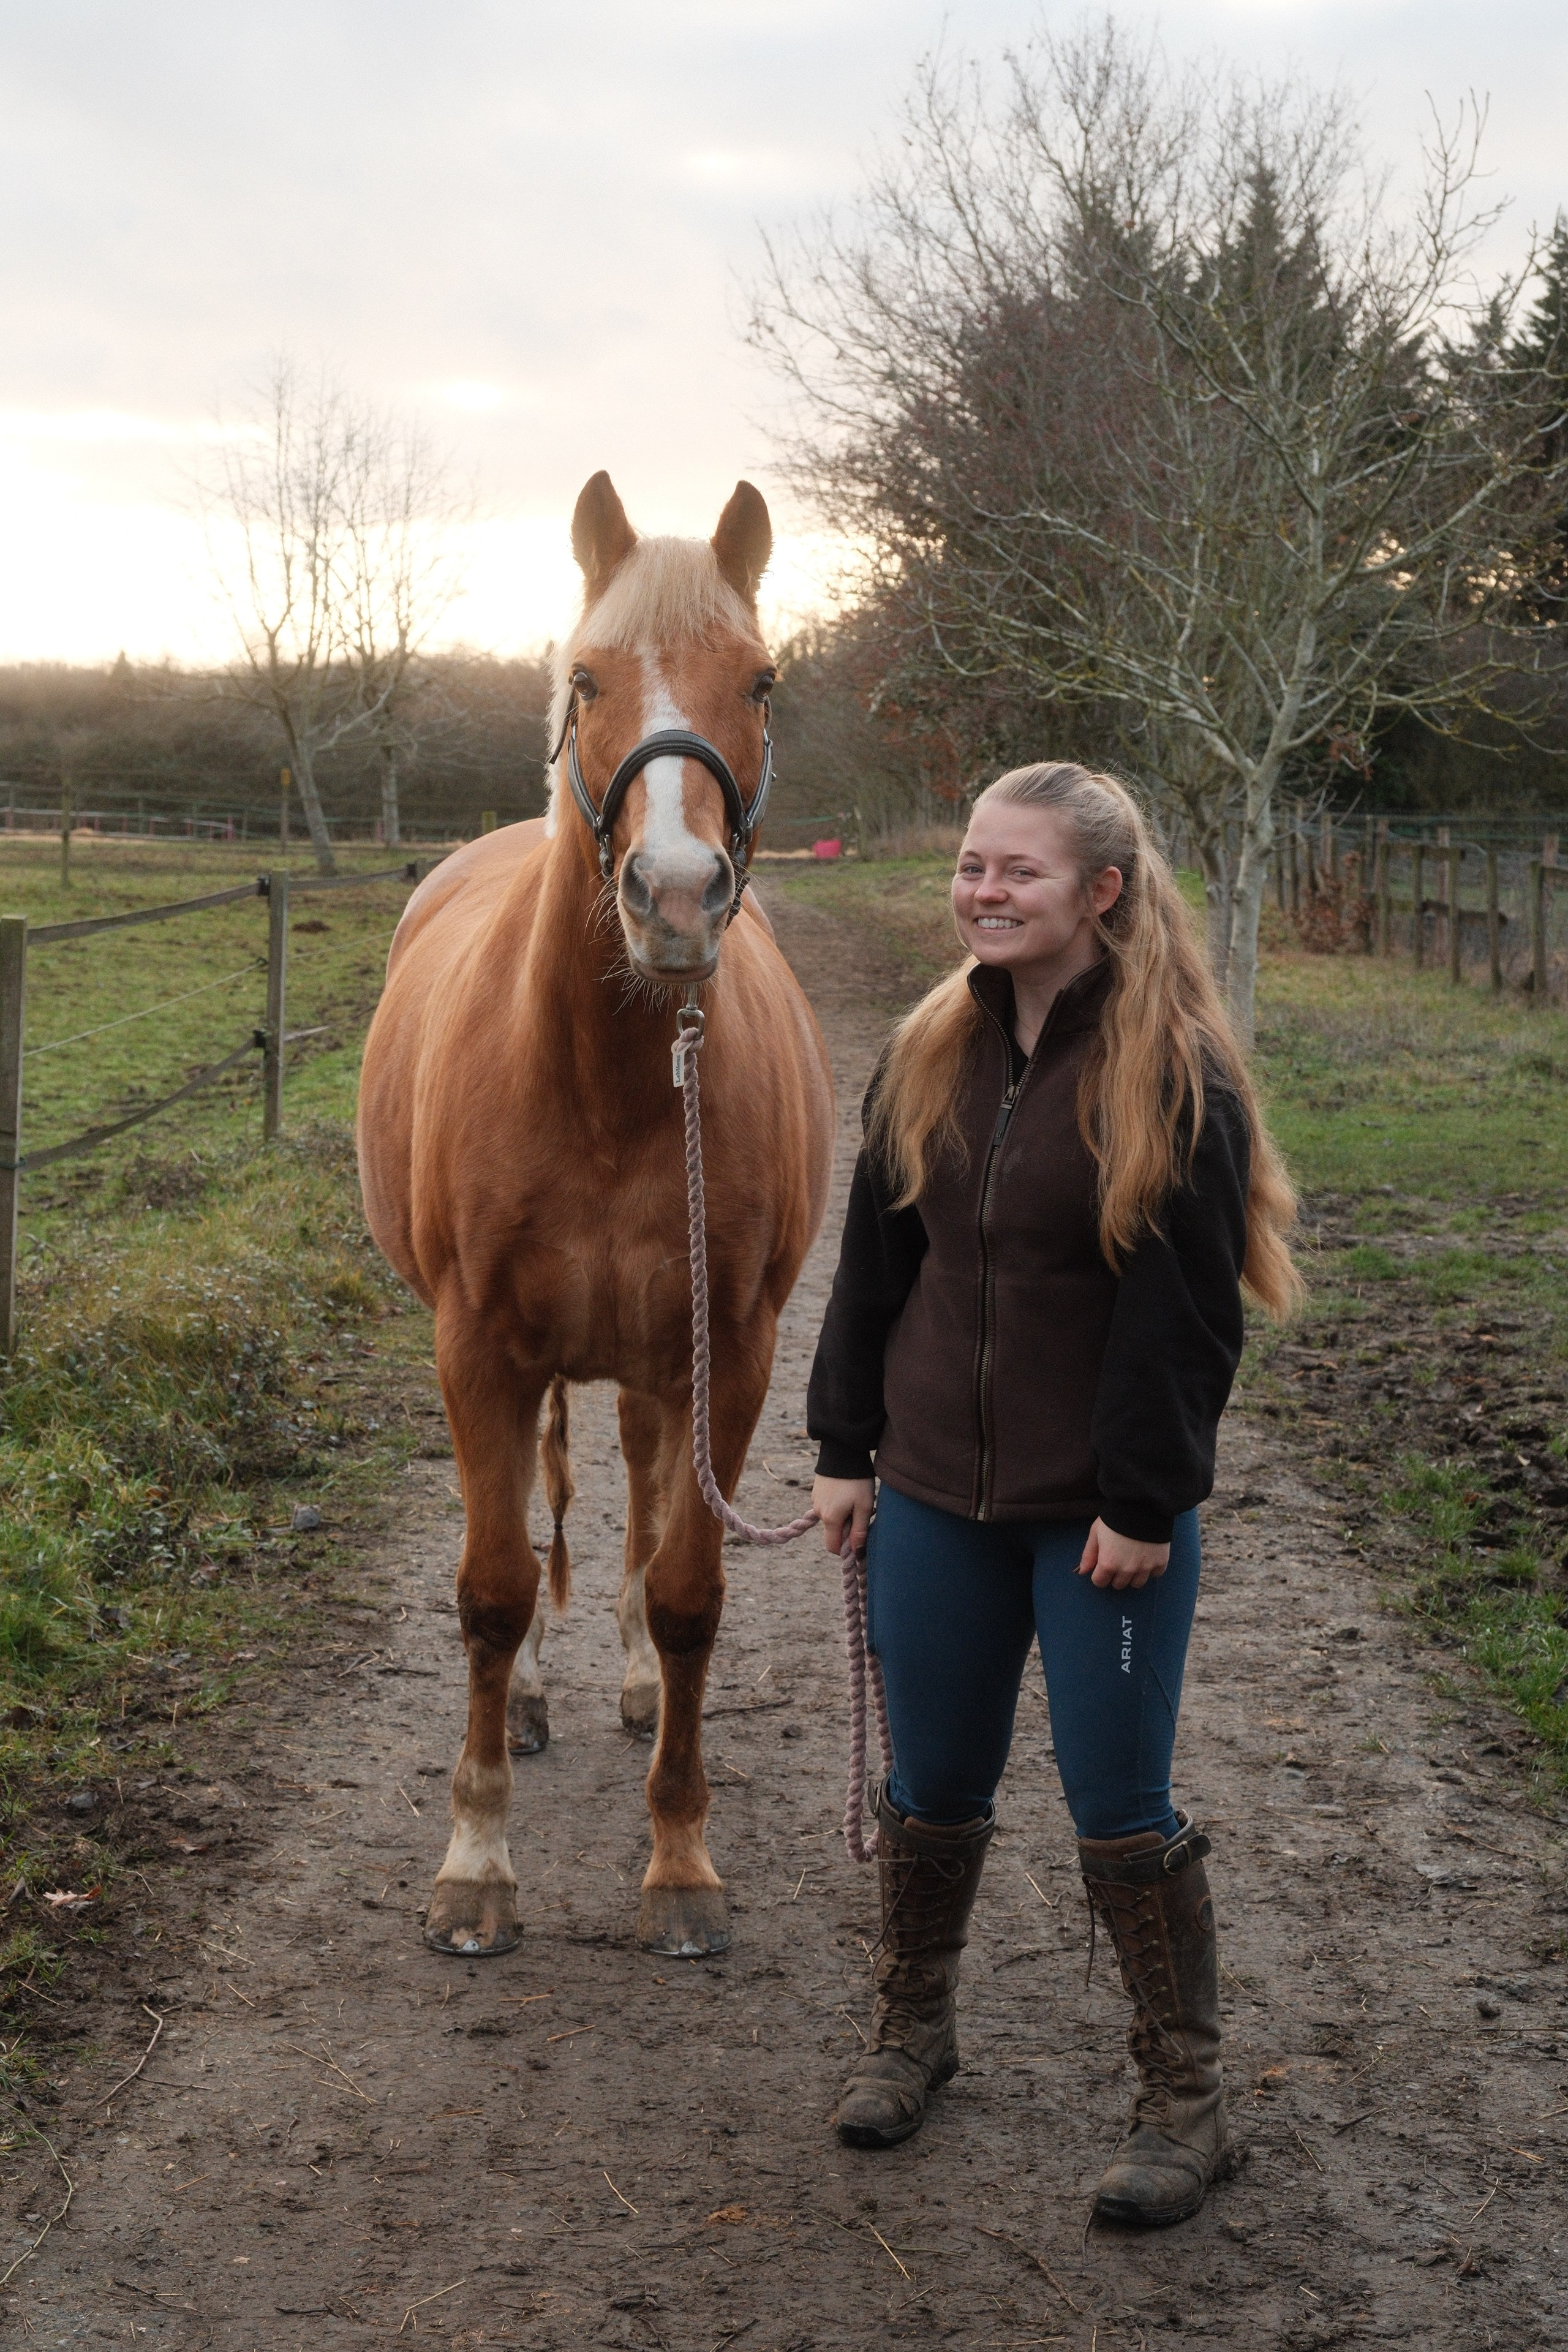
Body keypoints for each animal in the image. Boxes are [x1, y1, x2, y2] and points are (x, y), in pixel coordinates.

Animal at [357, 472, 835, 1959]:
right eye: (585, 678)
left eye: (762, 680)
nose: (675, 895)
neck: (616, 1083)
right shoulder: (478, 1350)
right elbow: (493, 1586)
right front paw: (475, 1861)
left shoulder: (728, 1354)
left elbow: (687, 1591)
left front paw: (678, 1859)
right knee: (535, 1512)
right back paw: (524, 1699)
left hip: (654, 1360)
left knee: (633, 1489)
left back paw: (619, 1678)